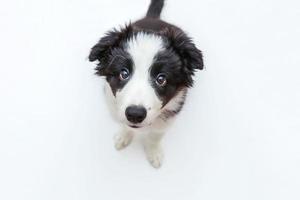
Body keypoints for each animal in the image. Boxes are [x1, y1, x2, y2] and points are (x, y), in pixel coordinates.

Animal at [88, 0, 203, 168]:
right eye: (124, 73)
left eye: (161, 79)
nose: (135, 114)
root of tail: (153, 18)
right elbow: (125, 125)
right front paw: (123, 137)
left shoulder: (168, 117)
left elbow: (155, 135)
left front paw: (153, 152)